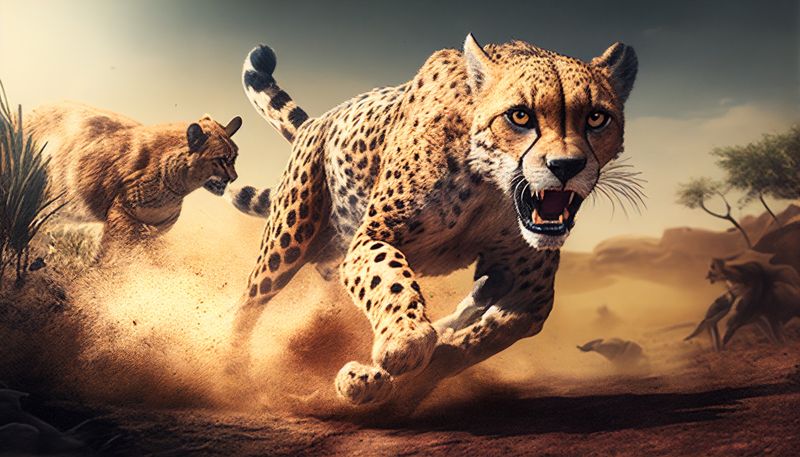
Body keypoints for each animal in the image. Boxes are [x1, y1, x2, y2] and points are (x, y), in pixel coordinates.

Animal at [24, 102, 242, 253]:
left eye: (234, 157)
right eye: (221, 159)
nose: (234, 177)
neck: (177, 186)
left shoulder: (153, 234)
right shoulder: (122, 220)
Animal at [226, 34, 638, 407]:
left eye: (597, 118)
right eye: (520, 115)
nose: (566, 167)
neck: (490, 185)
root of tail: (320, 120)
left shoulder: (533, 292)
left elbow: (480, 340)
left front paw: (405, 376)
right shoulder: (372, 236)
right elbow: (389, 277)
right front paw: (404, 341)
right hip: (288, 240)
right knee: (247, 307)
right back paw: (231, 375)